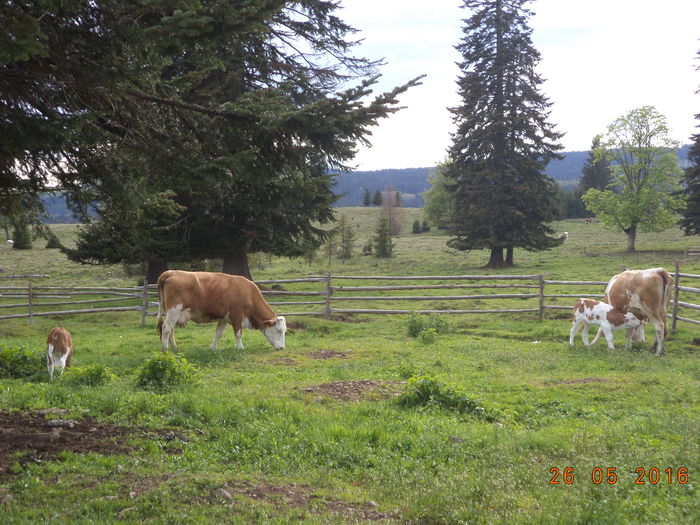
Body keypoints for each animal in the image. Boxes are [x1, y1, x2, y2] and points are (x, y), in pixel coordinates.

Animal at [158, 270, 288, 352]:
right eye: (278, 330)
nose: (282, 348)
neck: (248, 294)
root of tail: (170, 273)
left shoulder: (224, 318)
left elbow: (218, 333)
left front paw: (213, 348)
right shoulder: (237, 316)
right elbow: (238, 333)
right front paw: (240, 348)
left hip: (172, 313)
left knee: (170, 330)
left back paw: (174, 347)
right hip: (174, 311)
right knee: (166, 328)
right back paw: (165, 349)